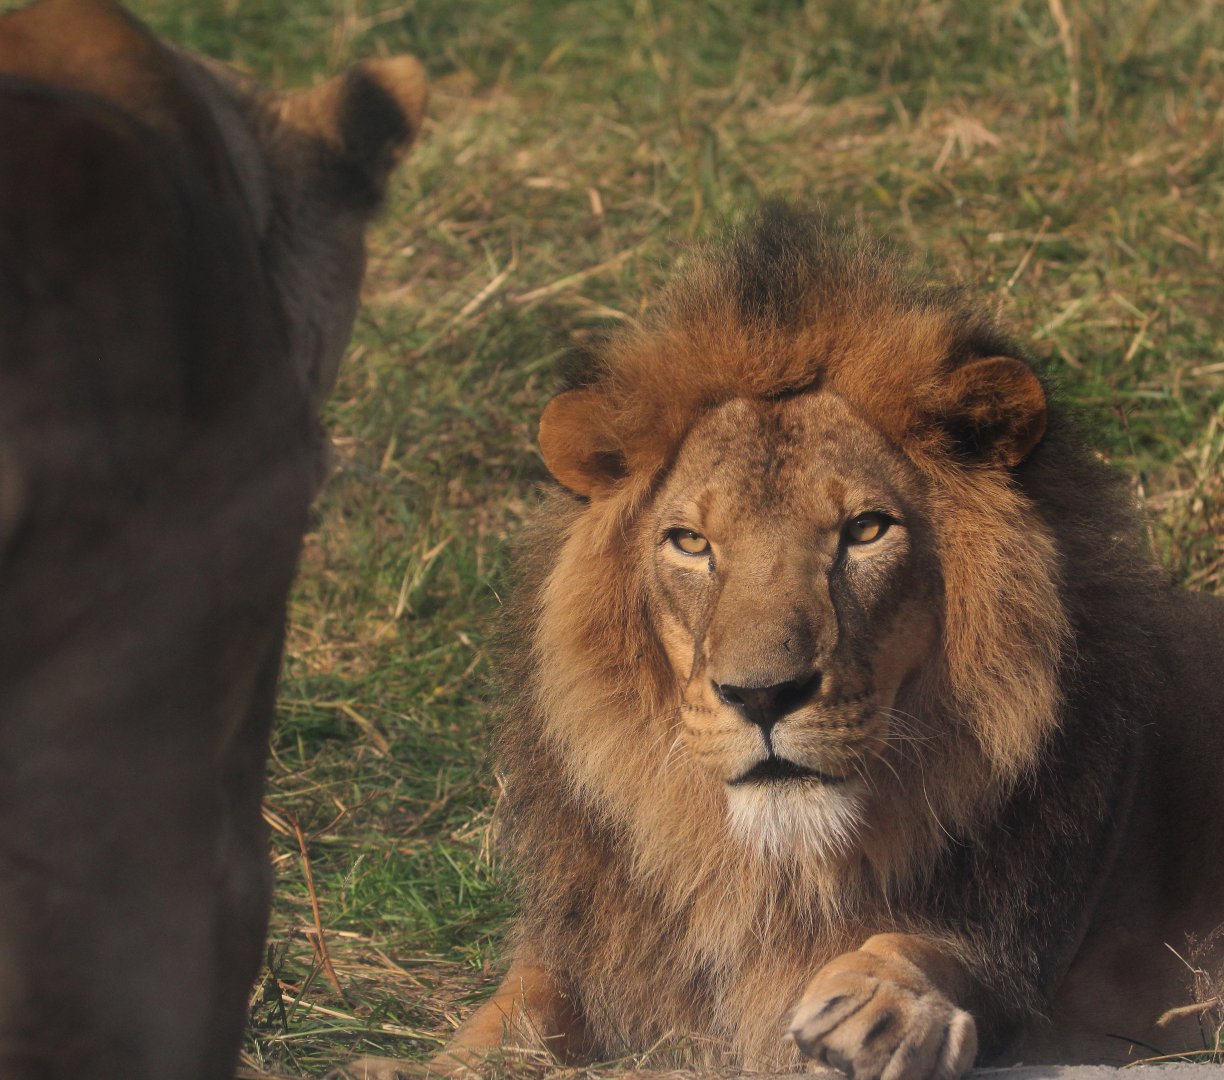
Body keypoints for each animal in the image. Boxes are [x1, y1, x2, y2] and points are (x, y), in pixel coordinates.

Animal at [338, 204, 1224, 1080]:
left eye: (865, 531)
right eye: (691, 543)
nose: (762, 695)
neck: (774, 874)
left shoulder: (1025, 947)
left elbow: (939, 953)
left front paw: (881, 1007)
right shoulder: (583, 953)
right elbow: (504, 1019)